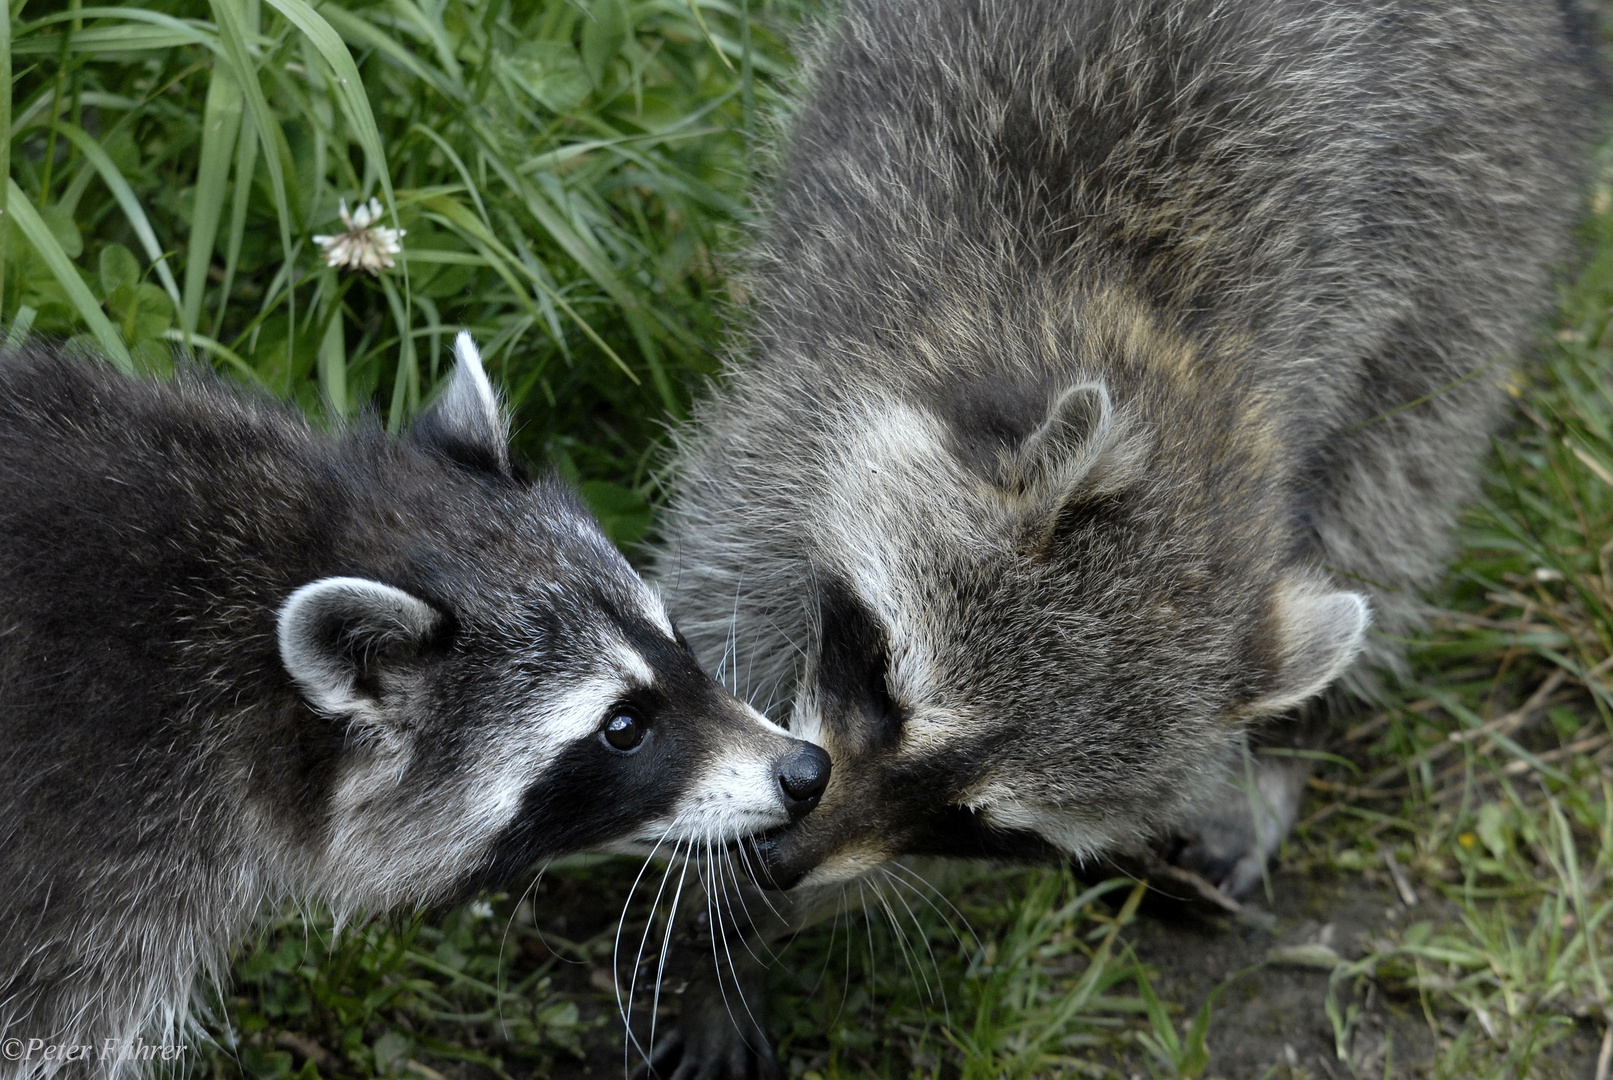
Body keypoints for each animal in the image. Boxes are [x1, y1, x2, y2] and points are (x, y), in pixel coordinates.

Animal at [648, 0, 1593, 1076]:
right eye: (887, 690)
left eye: (979, 824)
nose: (779, 860)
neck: (1190, 389)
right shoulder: (812, 407)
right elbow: (720, 613)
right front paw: (716, 916)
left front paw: (754, 921)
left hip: (1481, 228)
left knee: (1401, 479)